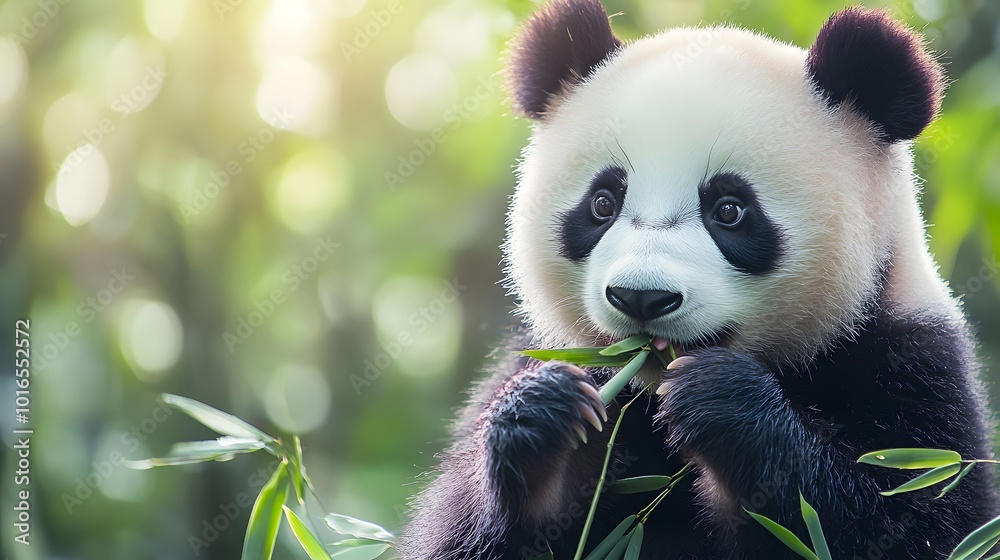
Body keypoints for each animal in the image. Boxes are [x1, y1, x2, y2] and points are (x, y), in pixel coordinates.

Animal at [402, 1, 998, 558]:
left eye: (729, 210)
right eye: (602, 203)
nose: (641, 297)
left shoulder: (912, 374)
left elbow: (902, 521)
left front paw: (721, 400)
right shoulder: (539, 355)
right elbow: (463, 533)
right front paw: (543, 416)